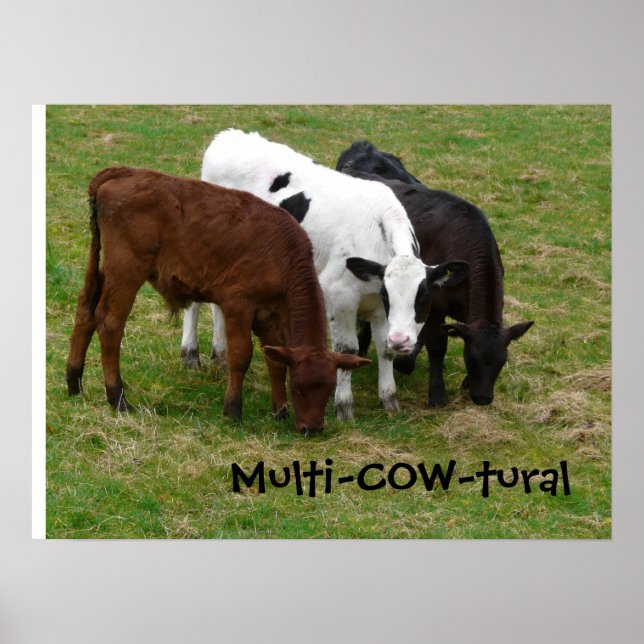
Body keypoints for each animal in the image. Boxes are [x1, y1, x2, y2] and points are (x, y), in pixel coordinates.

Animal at [66, 167, 370, 433]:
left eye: (329, 388)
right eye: (298, 386)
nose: (312, 428)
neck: (282, 254)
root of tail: (122, 172)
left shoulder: (269, 316)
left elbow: (275, 361)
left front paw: (280, 410)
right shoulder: (238, 304)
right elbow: (241, 356)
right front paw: (233, 410)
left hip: (101, 267)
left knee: (85, 312)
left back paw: (74, 382)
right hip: (126, 270)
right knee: (109, 322)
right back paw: (117, 397)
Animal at [180, 130, 469, 420]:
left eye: (422, 298)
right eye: (390, 295)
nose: (402, 341)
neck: (378, 231)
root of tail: (229, 136)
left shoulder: (378, 308)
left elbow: (384, 350)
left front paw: (389, 400)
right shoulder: (340, 298)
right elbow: (347, 350)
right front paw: (344, 406)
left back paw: (220, 355)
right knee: (193, 302)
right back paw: (190, 353)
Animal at [336, 141, 534, 407]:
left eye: (502, 362)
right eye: (470, 359)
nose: (482, 398)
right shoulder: (435, 304)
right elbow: (438, 345)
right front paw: (437, 392)